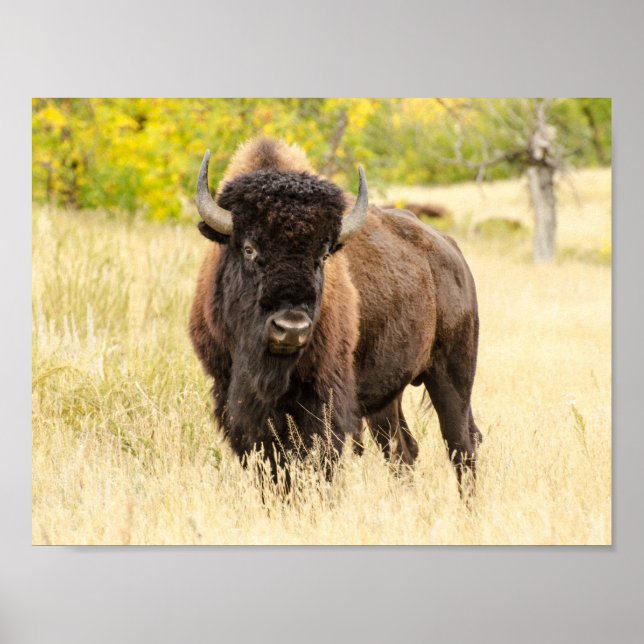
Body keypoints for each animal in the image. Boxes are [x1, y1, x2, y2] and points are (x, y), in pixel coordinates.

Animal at [189, 137, 481, 489]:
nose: (291, 328)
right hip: (388, 398)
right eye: (249, 248)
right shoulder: (232, 395)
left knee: (461, 446)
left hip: (453, 374)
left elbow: (318, 461)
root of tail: (450, 249)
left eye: (323, 256)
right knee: (403, 450)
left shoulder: (325, 400)